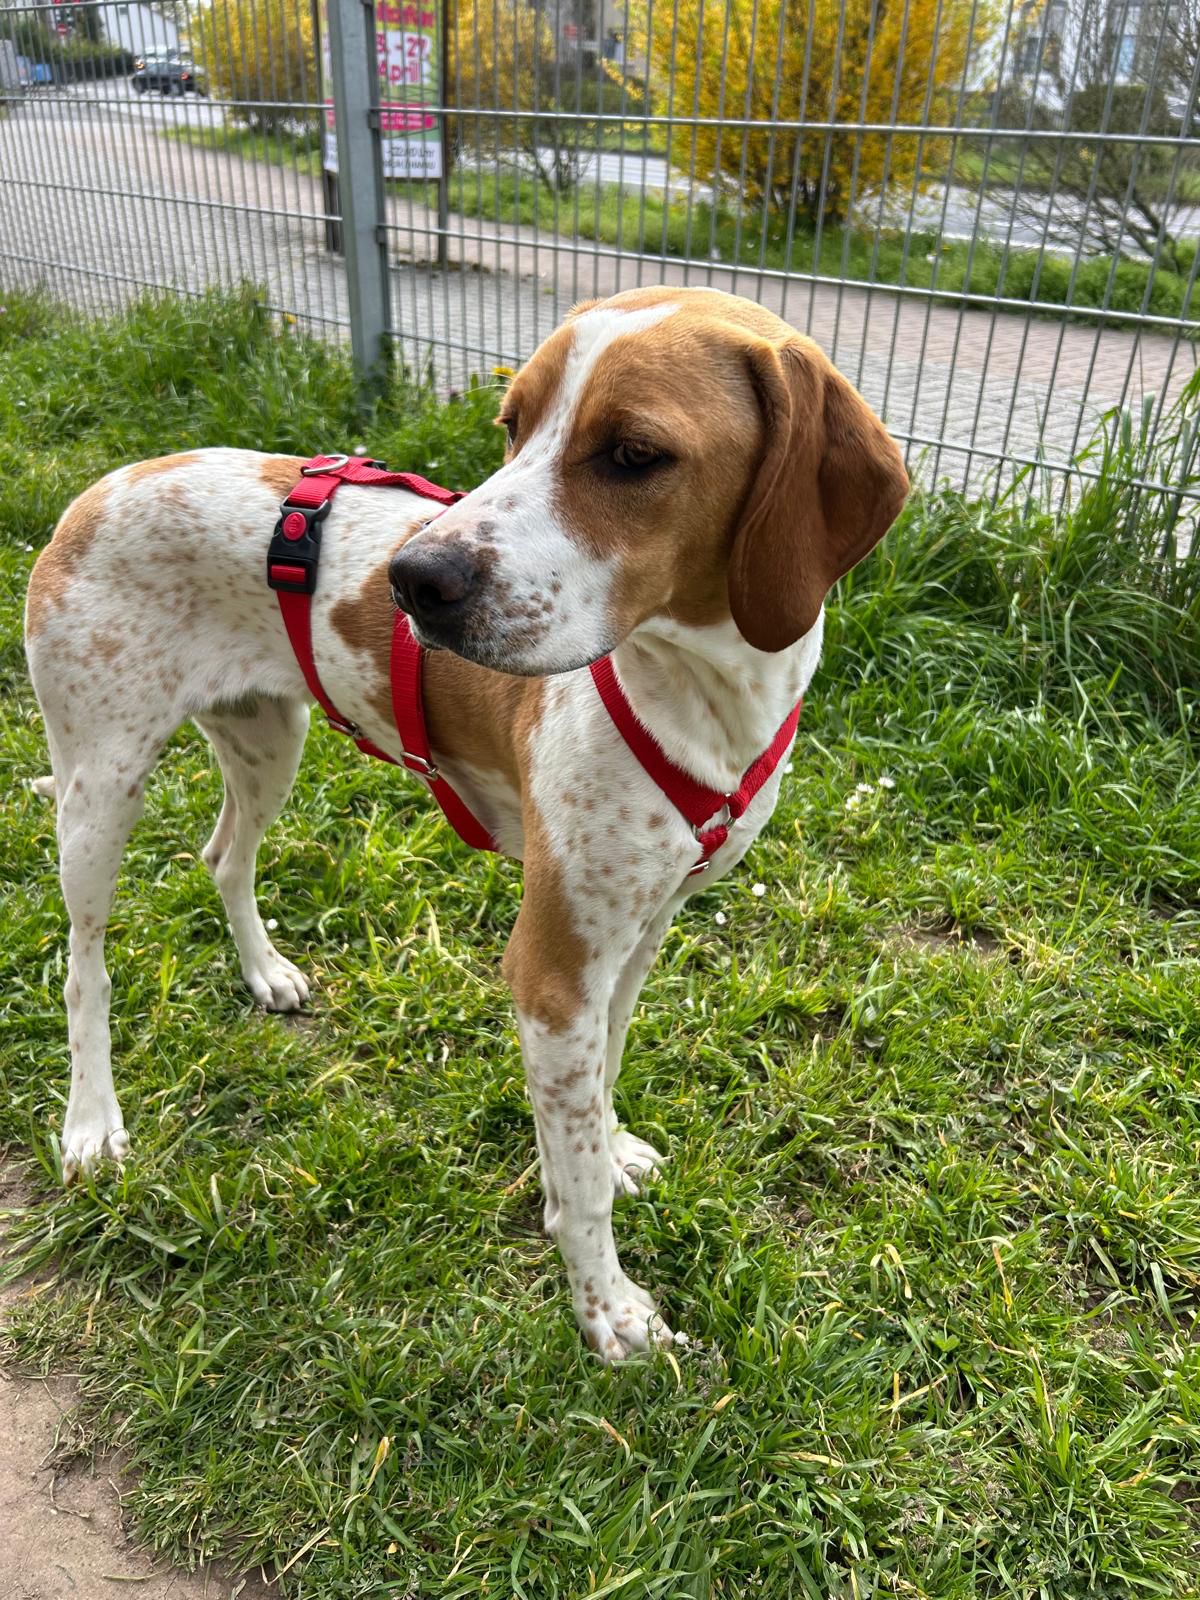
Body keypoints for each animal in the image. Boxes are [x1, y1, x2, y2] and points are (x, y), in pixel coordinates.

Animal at [25, 286, 908, 1360]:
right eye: (512, 424)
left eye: (634, 453)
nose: (412, 580)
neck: (708, 695)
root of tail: (106, 483)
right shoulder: (552, 969)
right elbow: (577, 1182)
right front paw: (609, 1311)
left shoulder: (638, 933)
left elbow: (599, 1086)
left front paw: (610, 1149)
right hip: (99, 790)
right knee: (85, 968)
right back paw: (90, 1124)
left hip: (267, 738)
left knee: (224, 855)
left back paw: (265, 973)